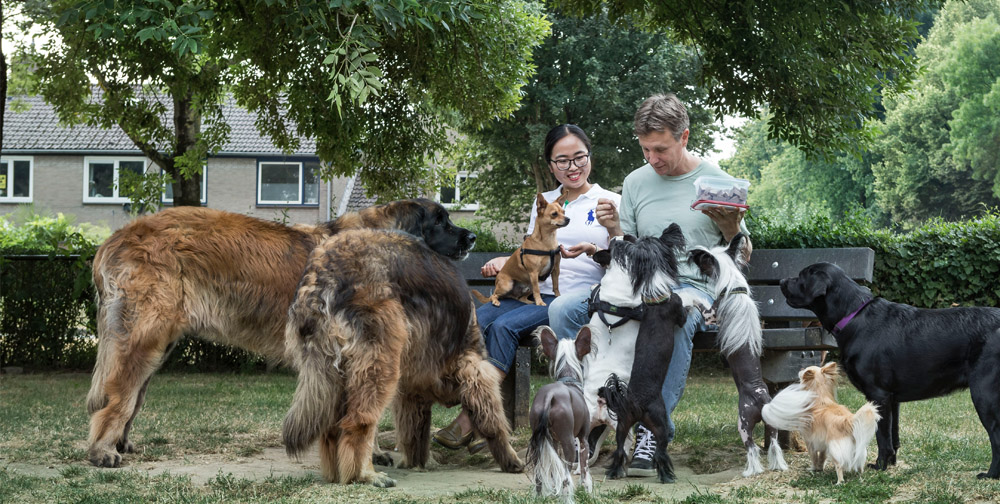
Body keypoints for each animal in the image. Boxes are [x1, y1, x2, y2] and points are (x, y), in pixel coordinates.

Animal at [86, 199, 476, 466]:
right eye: (439, 221)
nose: (472, 236)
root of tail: (117, 237)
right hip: (146, 334)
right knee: (120, 395)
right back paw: (102, 450)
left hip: (157, 340)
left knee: (133, 395)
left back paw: (119, 443)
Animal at [278, 229, 520, 488]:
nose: (473, 237)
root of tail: (322, 272)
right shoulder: (474, 366)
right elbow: (493, 420)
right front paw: (510, 458)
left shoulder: (413, 387)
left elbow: (415, 430)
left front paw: (417, 461)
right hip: (381, 364)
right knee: (358, 421)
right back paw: (365, 473)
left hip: (332, 375)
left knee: (331, 428)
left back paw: (337, 473)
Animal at [688, 232, 788, 476]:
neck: (733, 285)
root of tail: (762, 398)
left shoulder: (711, 314)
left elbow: (700, 304)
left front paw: (689, 299)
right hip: (772, 426)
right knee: (773, 444)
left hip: (743, 423)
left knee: (752, 448)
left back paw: (752, 471)